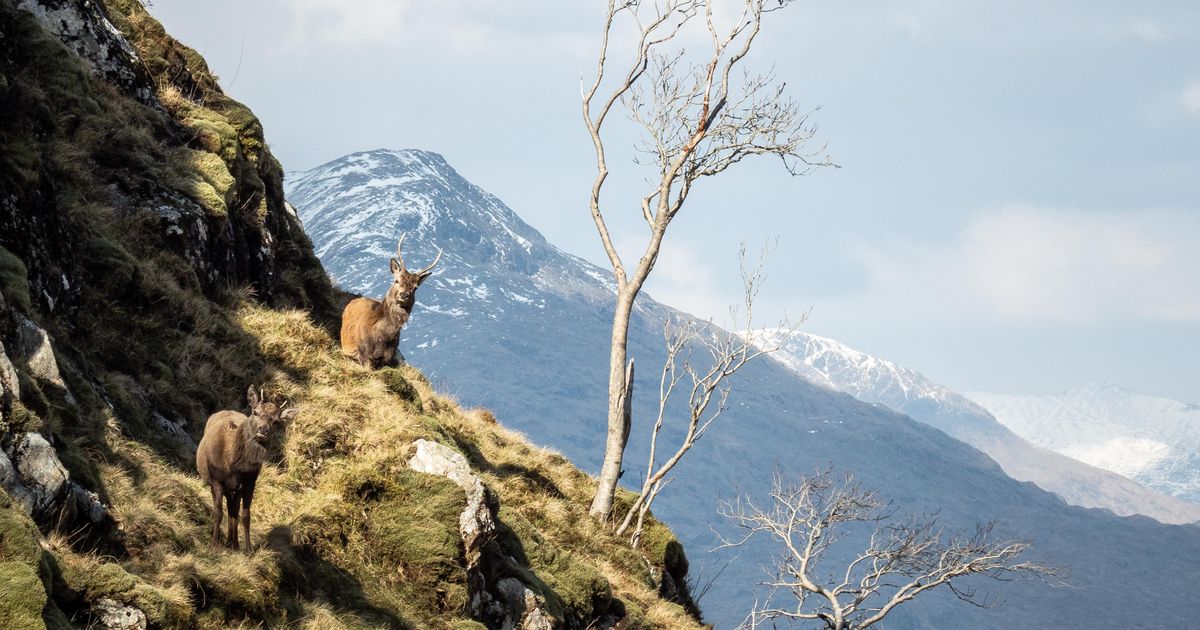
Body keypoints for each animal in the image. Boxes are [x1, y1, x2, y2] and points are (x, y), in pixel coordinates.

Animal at [196, 386, 297, 552]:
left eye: (276, 421)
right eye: (255, 412)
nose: (263, 429)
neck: (234, 466)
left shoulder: (250, 483)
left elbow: (245, 516)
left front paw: (248, 549)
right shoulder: (216, 479)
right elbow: (218, 513)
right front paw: (213, 545)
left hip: (235, 490)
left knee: (233, 511)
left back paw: (234, 544)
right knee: (229, 510)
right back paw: (229, 543)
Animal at [338, 234, 441, 369]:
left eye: (415, 287)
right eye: (396, 280)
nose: (404, 294)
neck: (381, 338)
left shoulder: (388, 358)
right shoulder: (363, 354)